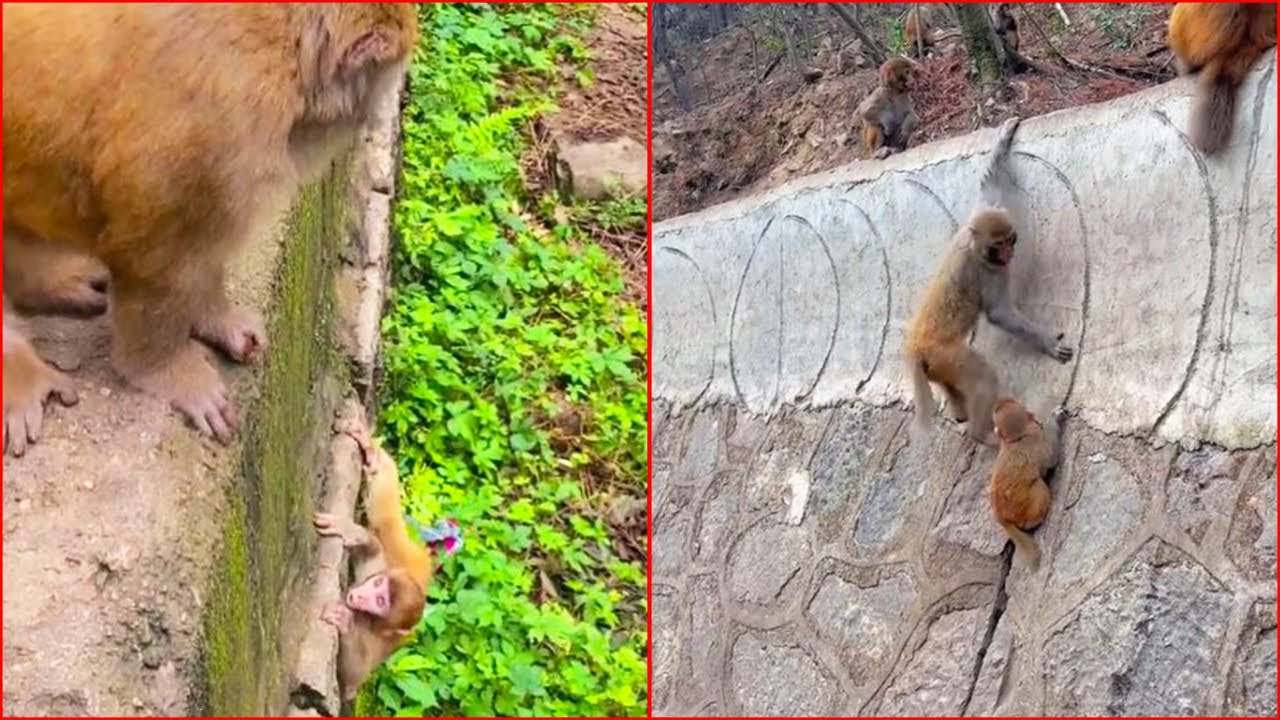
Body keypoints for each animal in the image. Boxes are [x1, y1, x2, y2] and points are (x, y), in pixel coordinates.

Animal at [3, 4, 419, 444]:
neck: (287, 53)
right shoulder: (226, 131)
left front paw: (214, 316)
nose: (376, 113)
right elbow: (152, 249)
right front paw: (165, 369)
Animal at [313, 422, 434, 701]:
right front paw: (353, 533)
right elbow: (373, 550)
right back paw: (371, 455)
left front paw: (345, 624)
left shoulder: (375, 642)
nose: (359, 597)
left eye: (380, 602)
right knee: (384, 519)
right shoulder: (377, 570)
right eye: (378, 585)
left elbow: (349, 686)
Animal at [903, 118, 1074, 446]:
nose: (1008, 254)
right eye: (999, 246)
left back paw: (960, 414)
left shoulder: (982, 212)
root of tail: (917, 348)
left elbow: (990, 184)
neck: (974, 247)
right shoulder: (988, 272)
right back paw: (981, 434)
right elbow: (998, 313)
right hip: (949, 356)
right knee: (983, 379)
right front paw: (1046, 341)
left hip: (939, 367)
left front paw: (1004, 138)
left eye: (1010, 239)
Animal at [988, 399, 1066, 570]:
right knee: (1039, 486)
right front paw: (1056, 419)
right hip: (1023, 508)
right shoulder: (1036, 438)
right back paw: (1037, 520)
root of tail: (1001, 516)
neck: (1015, 439)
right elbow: (1052, 457)